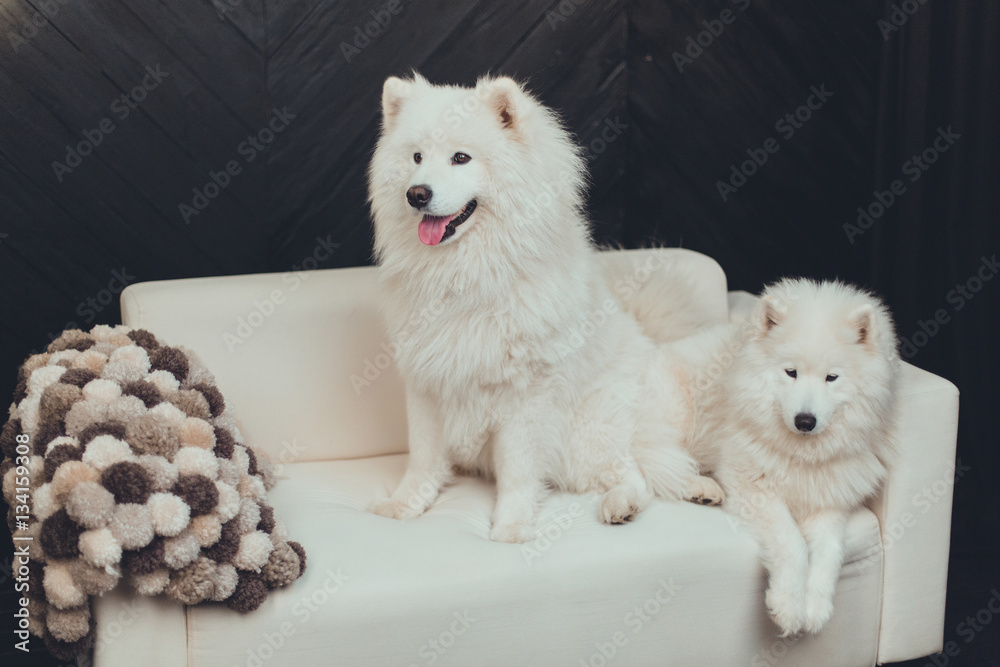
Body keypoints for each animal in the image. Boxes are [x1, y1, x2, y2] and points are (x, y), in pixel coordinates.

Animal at [368, 73, 712, 544]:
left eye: (461, 158)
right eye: (416, 157)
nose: (416, 194)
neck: (466, 275)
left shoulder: (524, 395)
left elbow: (517, 472)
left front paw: (511, 528)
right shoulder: (427, 383)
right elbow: (423, 459)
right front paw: (403, 506)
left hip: (586, 430)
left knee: (637, 473)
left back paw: (624, 504)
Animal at [636, 278, 904, 636]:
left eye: (831, 377)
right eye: (791, 372)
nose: (805, 421)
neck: (800, 454)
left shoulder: (828, 502)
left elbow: (831, 550)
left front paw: (816, 607)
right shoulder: (755, 488)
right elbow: (792, 542)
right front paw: (787, 606)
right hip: (671, 418)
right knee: (652, 459)